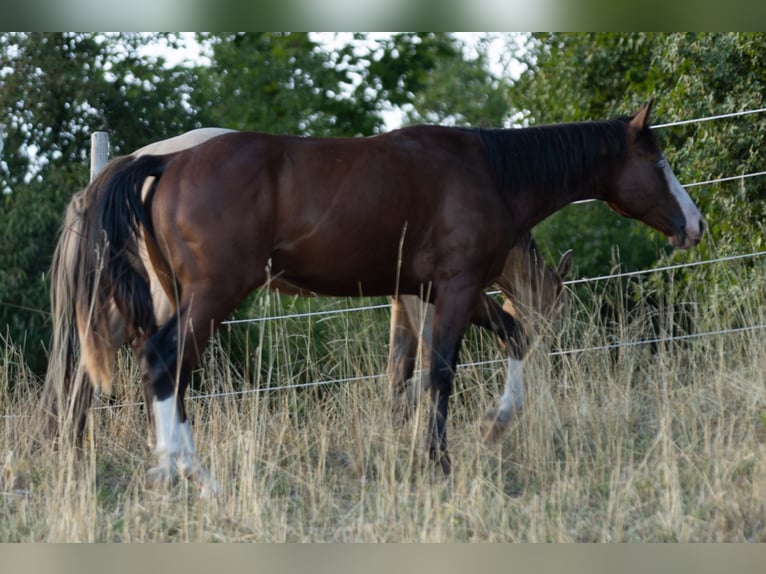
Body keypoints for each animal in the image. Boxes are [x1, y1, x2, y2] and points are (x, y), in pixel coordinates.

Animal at [51, 100, 704, 485]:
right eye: (660, 161)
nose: (693, 224)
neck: (489, 171)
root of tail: (160, 162)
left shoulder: (438, 291)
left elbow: (488, 345)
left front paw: (491, 425)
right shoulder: (455, 289)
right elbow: (439, 373)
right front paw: (439, 460)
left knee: (154, 371)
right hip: (209, 296)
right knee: (161, 362)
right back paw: (188, 475)